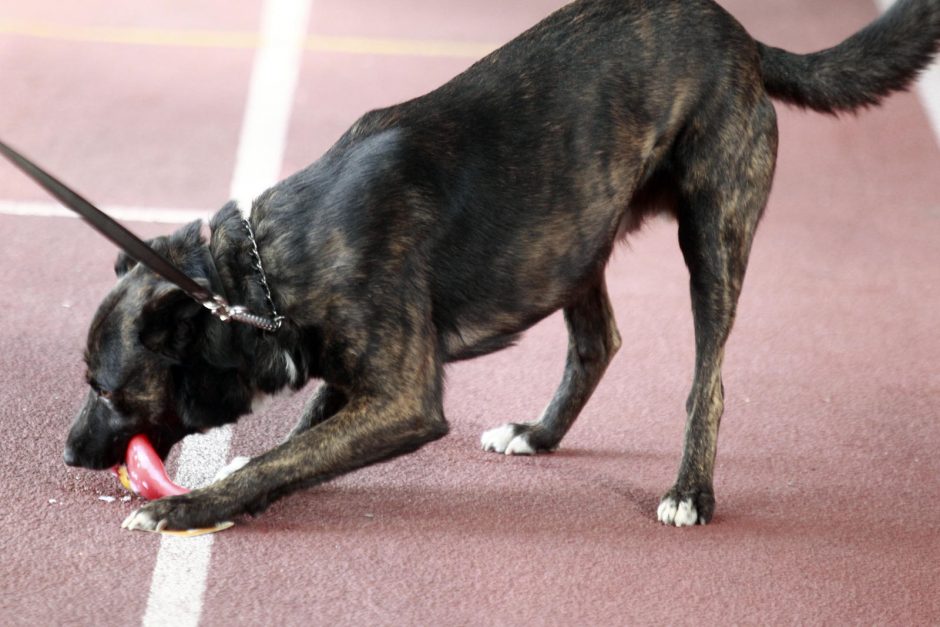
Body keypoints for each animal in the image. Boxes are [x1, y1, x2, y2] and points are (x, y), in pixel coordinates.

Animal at [66, 0, 940, 528]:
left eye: (107, 390)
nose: (70, 451)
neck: (262, 273)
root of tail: (744, 38)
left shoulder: (405, 399)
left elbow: (293, 452)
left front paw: (193, 506)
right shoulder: (360, 375)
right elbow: (306, 428)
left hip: (712, 235)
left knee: (708, 380)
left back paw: (691, 490)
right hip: (569, 237)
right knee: (598, 343)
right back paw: (539, 433)